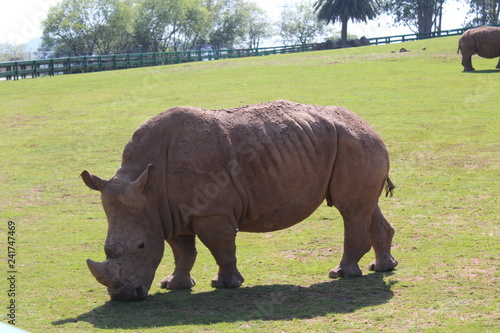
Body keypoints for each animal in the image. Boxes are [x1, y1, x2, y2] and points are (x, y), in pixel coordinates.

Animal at [81, 100, 398, 300]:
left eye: (141, 246)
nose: (123, 297)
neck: (148, 185)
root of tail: (370, 125)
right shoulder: (168, 212)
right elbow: (182, 251)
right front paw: (174, 286)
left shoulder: (211, 212)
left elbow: (221, 249)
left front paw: (225, 285)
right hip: (355, 143)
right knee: (366, 208)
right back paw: (382, 268)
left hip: (355, 143)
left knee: (350, 210)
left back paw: (341, 274)